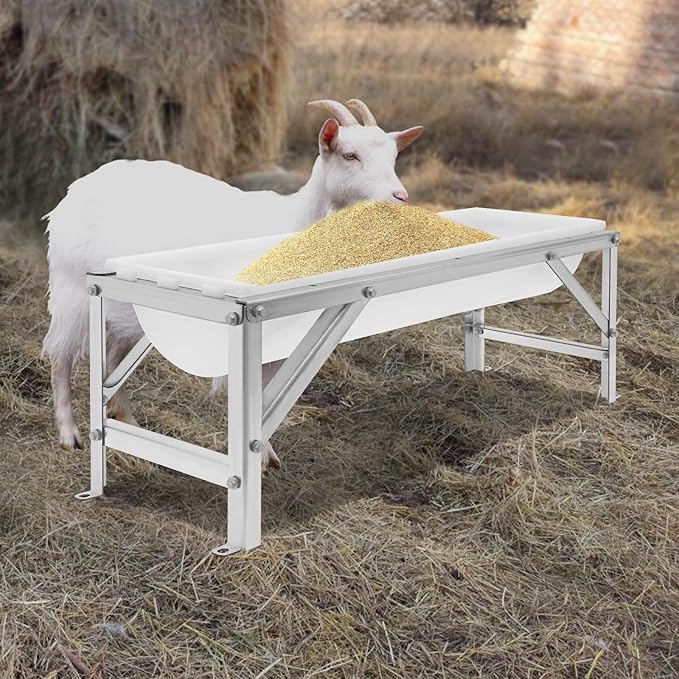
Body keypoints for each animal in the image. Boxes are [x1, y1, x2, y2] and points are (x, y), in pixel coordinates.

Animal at [43, 98, 424, 468]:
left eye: (394, 157)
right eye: (349, 155)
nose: (399, 198)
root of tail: (76, 190)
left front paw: (267, 453)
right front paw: (257, 457)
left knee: (111, 359)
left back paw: (128, 425)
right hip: (73, 289)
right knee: (60, 355)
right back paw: (68, 433)